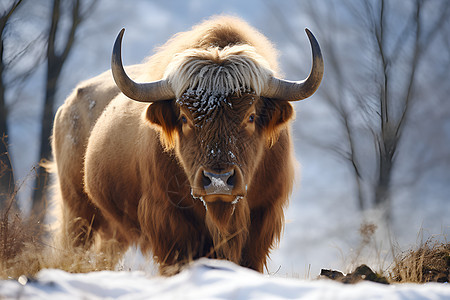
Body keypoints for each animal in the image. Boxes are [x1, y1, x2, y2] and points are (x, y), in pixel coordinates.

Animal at [51, 15, 322, 274]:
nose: (218, 180)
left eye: (251, 116)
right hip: (77, 211)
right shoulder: (168, 221)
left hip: (113, 229)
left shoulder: (264, 218)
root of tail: (67, 106)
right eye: (184, 118)